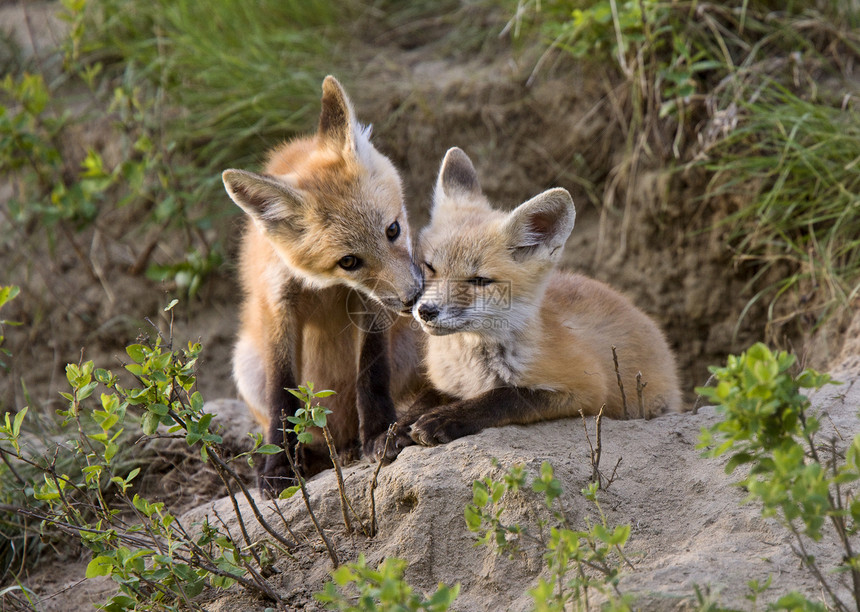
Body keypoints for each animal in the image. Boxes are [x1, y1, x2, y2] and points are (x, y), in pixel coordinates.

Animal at [222, 76, 424, 490]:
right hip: (245, 364)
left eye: (393, 230)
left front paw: (379, 433)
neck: (326, 285)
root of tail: (341, 436)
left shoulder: (373, 304)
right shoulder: (278, 305)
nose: (413, 297)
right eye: (348, 261)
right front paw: (279, 465)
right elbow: (282, 395)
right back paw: (314, 454)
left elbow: (371, 371)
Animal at [400, 148, 680, 444]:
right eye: (430, 267)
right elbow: (427, 395)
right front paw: (396, 430)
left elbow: (508, 396)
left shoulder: (588, 389)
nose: (426, 311)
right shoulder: (445, 381)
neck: (474, 364)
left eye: (480, 281)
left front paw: (446, 418)